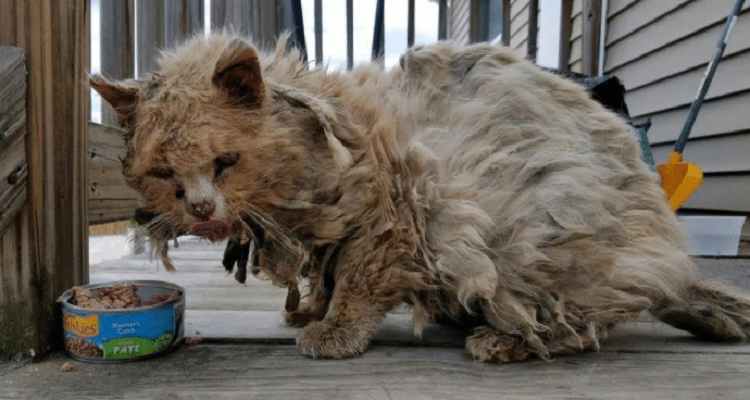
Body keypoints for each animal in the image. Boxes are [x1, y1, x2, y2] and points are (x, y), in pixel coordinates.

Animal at [92, 32, 750, 362]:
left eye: (225, 163)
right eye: (162, 173)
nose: (200, 209)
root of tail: (671, 265)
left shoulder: (396, 218)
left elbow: (355, 285)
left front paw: (333, 334)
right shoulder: (337, 233)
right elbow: (324, 276)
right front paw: (309, 311)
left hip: (537, 239)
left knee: (580, 324)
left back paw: (500, 340)